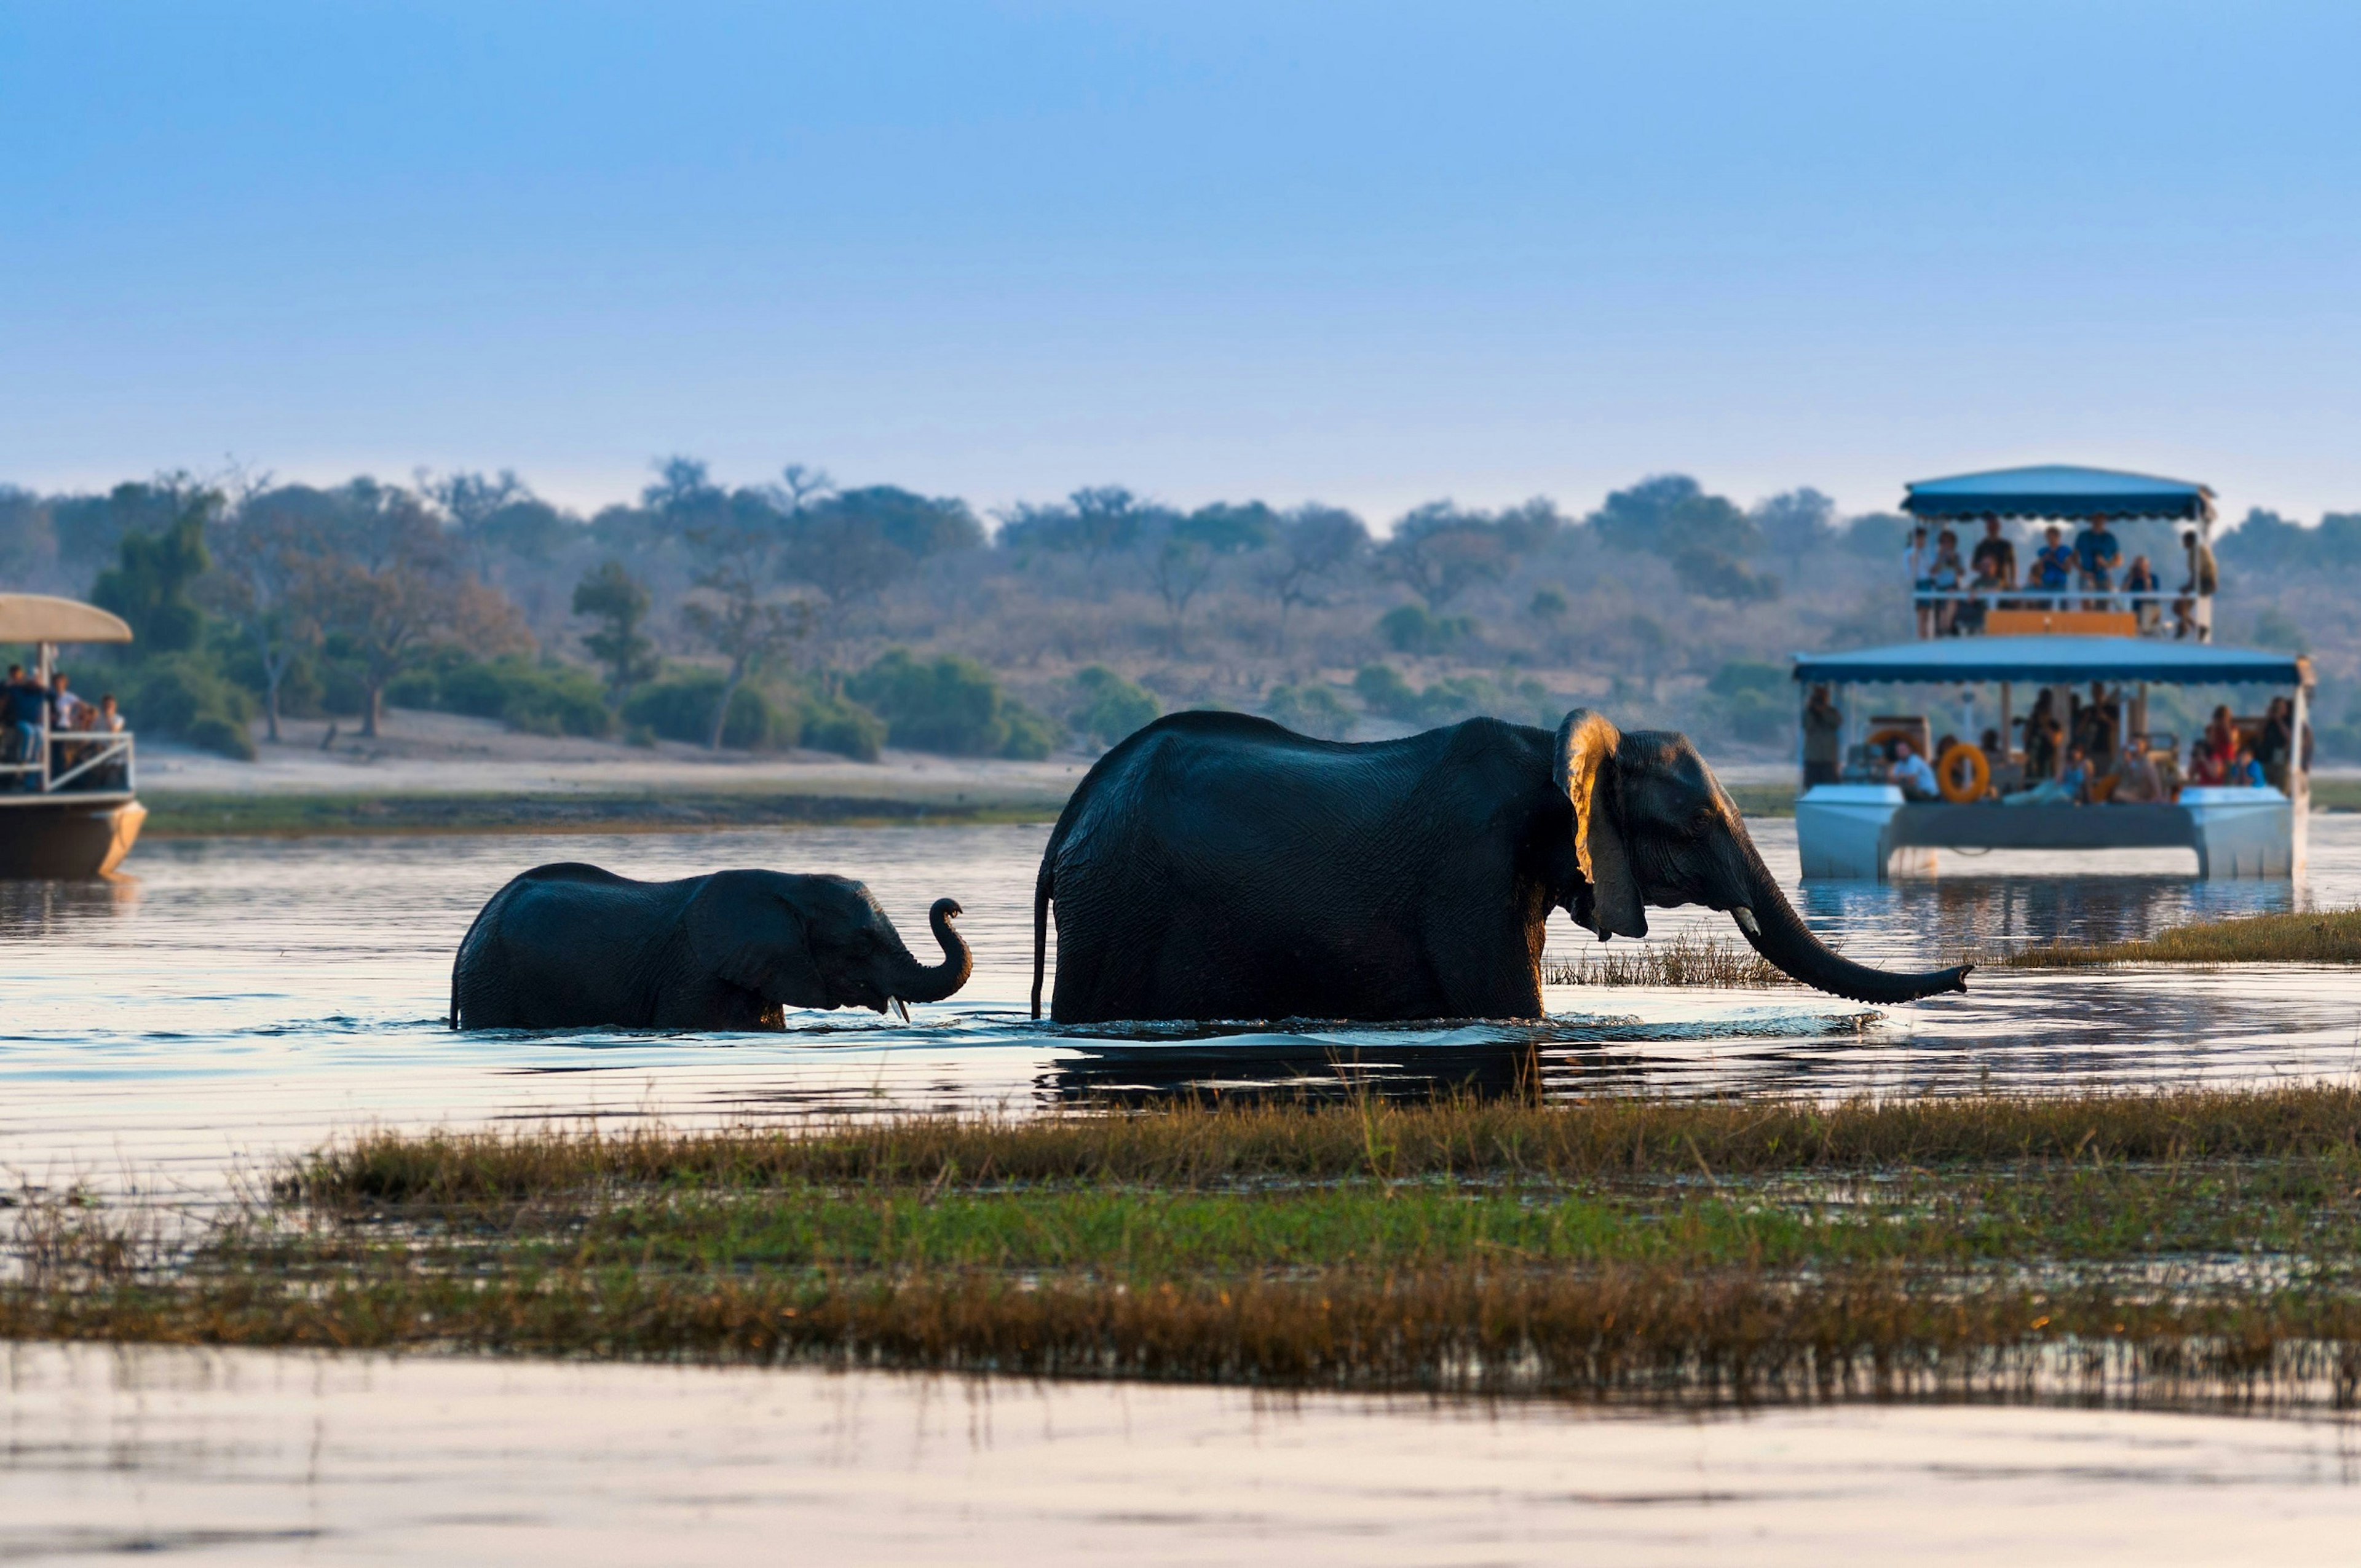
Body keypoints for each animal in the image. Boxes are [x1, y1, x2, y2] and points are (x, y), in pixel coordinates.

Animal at [1024, 713, 1964, 1029]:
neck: (1555, 751)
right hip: (1119, 901)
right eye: (1697, 822)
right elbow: (1512, 1005)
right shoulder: (1471, 867)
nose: (1964, 973)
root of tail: (1072, 813)